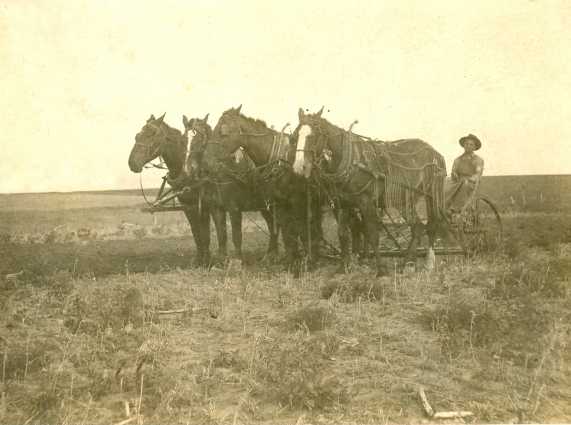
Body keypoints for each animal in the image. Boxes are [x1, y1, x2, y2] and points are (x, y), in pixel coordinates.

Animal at [127, 112, 212, 264]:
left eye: (152, 134)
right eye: (137, 135)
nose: (132, 163)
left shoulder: (204, 206)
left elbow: (205, 234)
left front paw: (207, 261)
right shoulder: (187, 206)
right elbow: (196, 233)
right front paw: (199, 261)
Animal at [181, 112, 280, 262]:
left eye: (201, 137)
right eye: (184, 138)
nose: (190, 168)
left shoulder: (234, 208)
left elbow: (236, 235)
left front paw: (237, 260)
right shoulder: (216, 208)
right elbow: (222, 235)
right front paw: (222, 260)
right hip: (265, 207)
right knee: (272, 225)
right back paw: (271, 254)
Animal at [292, 107, 450, 276]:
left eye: (313, 135)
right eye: (296, 135)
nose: (299, 166)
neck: (350, 160)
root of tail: (436, 153)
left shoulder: (365, 202)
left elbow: (372, 233)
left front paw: (380, 269)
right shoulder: (342, 204)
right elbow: (343, 234)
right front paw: (343, 267)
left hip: (432, 196)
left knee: (428, 226)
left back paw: (424, 263)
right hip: (404, 200)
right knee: (419, 227)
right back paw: (409, 263)